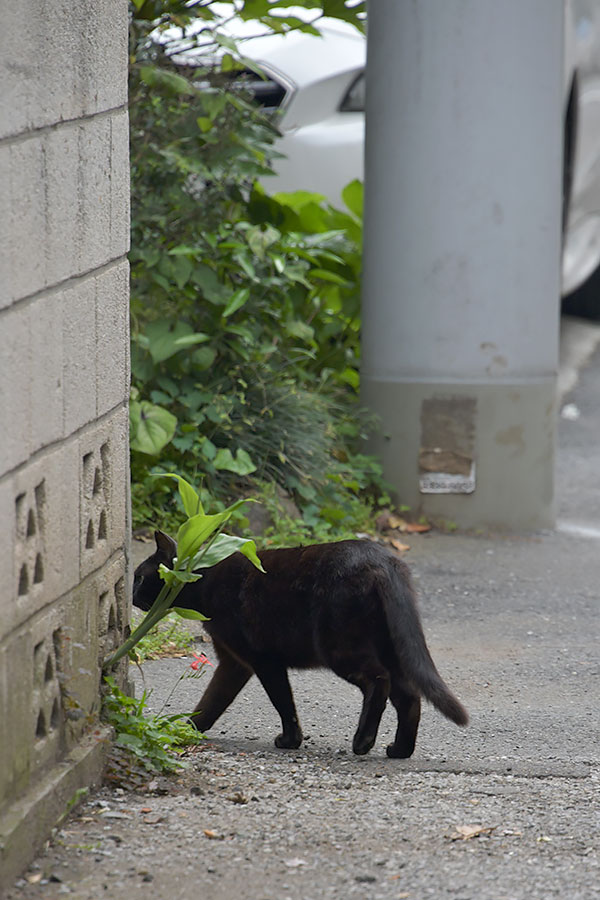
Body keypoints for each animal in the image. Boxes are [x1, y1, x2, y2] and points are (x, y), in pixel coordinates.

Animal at [134, 532, 466, 756]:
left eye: (139, 577)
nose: (132, 594)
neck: (203, 578)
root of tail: (384, 560)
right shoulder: (234, 663)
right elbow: (213, 699)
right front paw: (184, 730)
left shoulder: (263, 660)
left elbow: (283, 701)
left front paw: (290, 741)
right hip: (392, 647)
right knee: (409, 695)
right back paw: (399, 750)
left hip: (339, 648)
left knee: (378, 681)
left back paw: (363, 741)